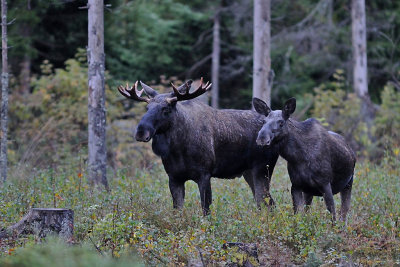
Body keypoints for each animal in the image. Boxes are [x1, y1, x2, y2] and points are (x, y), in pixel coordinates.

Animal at [117, 79, 278, 216]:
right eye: (147, 107)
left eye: (166, 109)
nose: (141, 132)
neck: (178, 150)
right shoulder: (174, 177)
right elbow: (177, 211)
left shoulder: (204, 174)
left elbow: (206, 210)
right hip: (248, 172)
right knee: (265, 202)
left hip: (262, 169)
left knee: (267, 202)